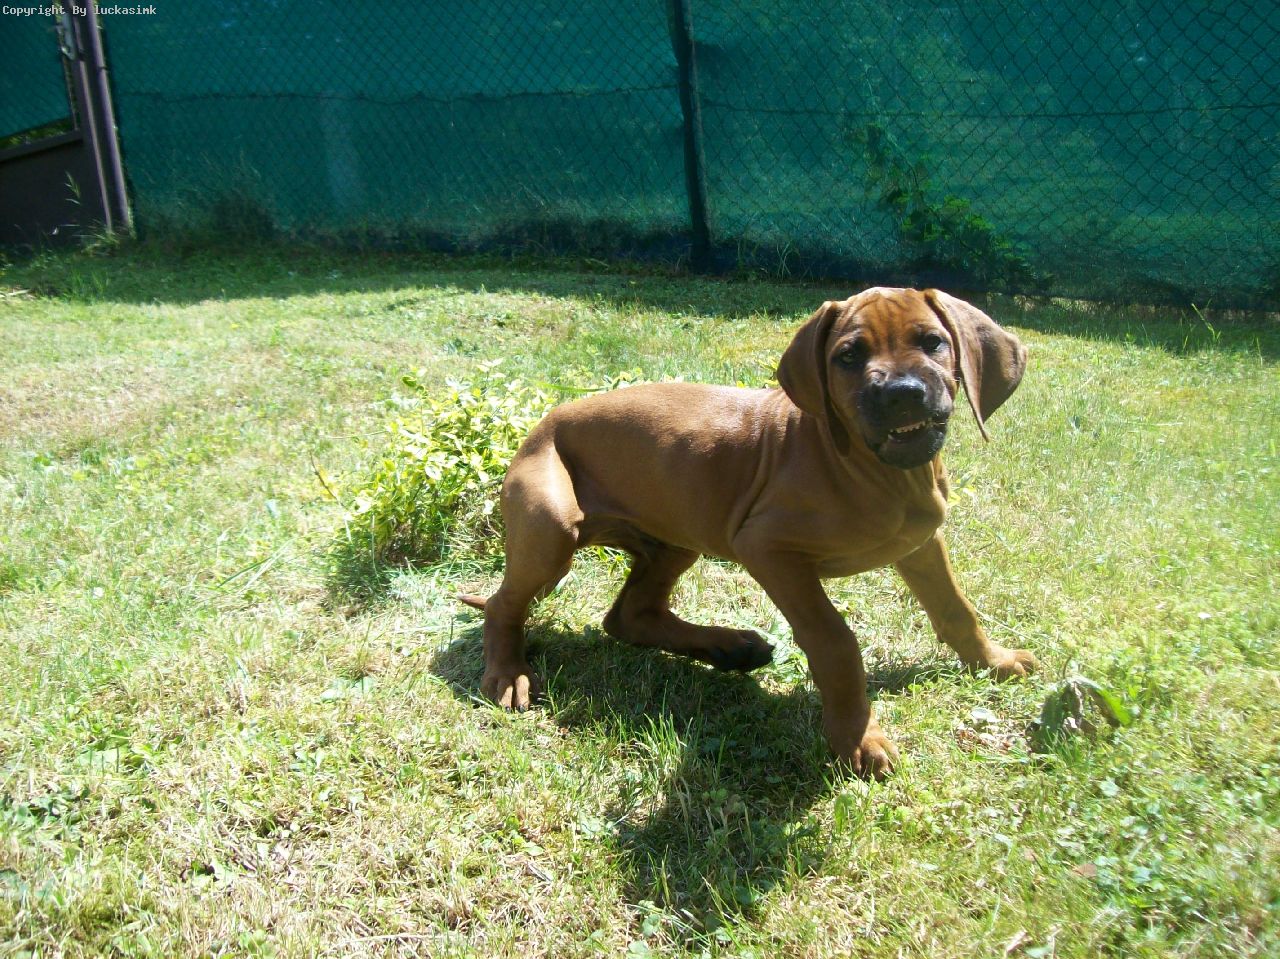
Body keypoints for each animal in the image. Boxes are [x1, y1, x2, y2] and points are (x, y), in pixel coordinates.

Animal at [459, 287, 1036, 778]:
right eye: (848, 356)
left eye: (933, 342)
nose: (902, 394)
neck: (880, 473)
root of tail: (543, 422)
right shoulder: (770, 551)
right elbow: (835, 640)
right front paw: (857, 738)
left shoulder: (921, 544)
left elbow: (956, 609)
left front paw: (994, 662)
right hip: (552, 528)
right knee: (505, 603)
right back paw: (508, 673)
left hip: (675, 541)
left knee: (629, 615)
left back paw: (730, 648)